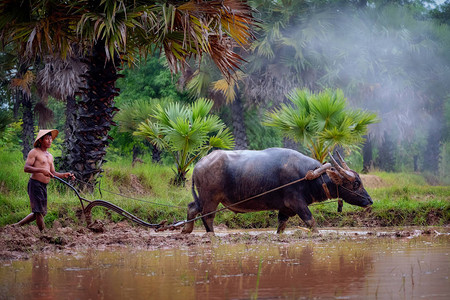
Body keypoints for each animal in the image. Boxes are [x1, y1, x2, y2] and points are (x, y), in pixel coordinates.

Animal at [180, 148, 372, 234]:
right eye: (356, 183)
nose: (370, 201)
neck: (308, 176)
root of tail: (199, 164)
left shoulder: (285, 209)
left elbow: (281, 227)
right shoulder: (297, 203)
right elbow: (311, 222)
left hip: (203, 198)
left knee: (192, 207)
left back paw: (186, 230)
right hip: (211, 199)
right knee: (207, 217)